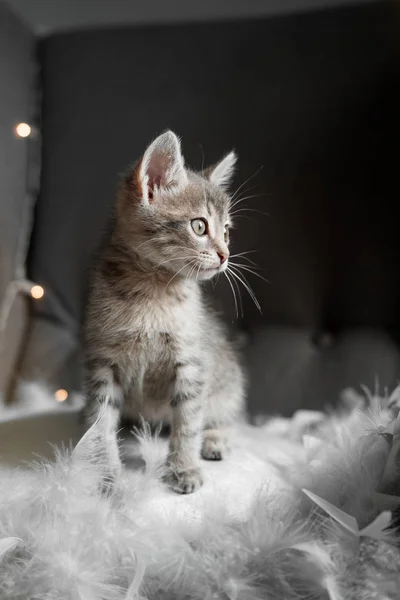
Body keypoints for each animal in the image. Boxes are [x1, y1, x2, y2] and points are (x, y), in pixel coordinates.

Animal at [84, 130, 245, 492]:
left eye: (227, 231)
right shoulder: (102, 362)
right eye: (199, 227)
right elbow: (100, 420)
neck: (153, 292)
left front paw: (184, 468)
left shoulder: (192, 362)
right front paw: (105, 472)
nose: (225, 255)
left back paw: (216, 439)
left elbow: (187, 420)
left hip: (228, 381)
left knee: (229, 416)